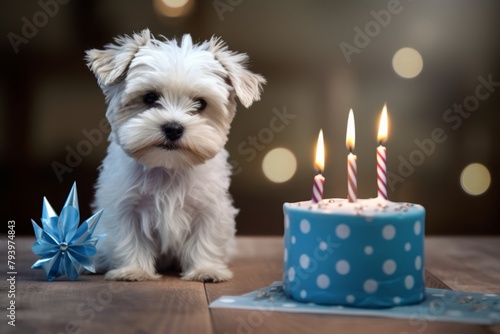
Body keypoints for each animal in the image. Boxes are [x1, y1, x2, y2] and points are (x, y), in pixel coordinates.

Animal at [85, 29, 266, 282]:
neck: (168, 168)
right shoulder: (124, 207)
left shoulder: (209, 208)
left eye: (200, 104)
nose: (173, 128)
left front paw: (205, 269)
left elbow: (205, 240)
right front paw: (134, 270)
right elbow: (129, 240)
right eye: (149, 98)